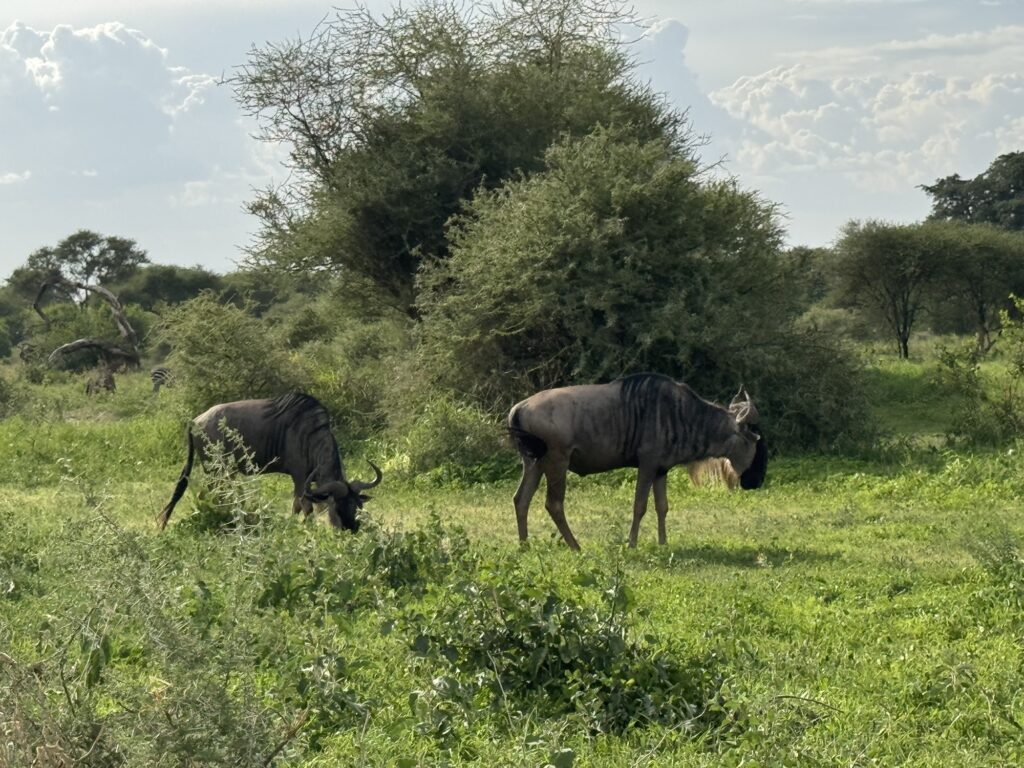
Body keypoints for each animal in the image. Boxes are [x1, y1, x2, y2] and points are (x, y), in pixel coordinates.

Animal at [157, 392, 381, 531]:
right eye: (336, 506)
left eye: (356, 505)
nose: (351, 529)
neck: (311, 435)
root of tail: (195, 421)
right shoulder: (300, 477)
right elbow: (304, 505)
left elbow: (297, 505)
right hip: (217, 471)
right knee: (214, 495)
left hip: (224, 473)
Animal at [507, 373, 767, 550]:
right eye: (754, 439)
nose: (756, 481)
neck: (682, 413)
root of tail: (519, 408)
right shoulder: (647, 464)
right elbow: (639, 505)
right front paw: (631, 543)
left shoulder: (661, 470)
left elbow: (662, 506)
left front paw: (663, 543)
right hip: (556, 461)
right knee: (554, 504)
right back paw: (576, 546)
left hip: (534, 463)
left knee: (521, 499)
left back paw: (524, 545)